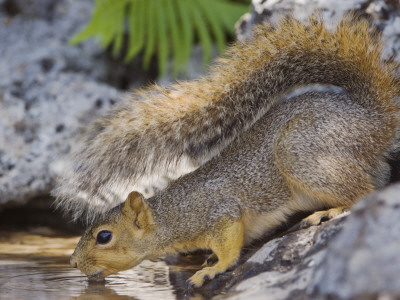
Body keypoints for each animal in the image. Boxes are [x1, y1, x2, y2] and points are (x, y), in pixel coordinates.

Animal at [65, 14, 400, 288]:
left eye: (104, 236)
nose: (73, 263)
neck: (171, 216)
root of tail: (372, 119)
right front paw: (210, 260)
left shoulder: (220, 213)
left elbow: (230, 247)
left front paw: (213, 269)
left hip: (301, 151)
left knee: (364, 190)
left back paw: (330, 211)